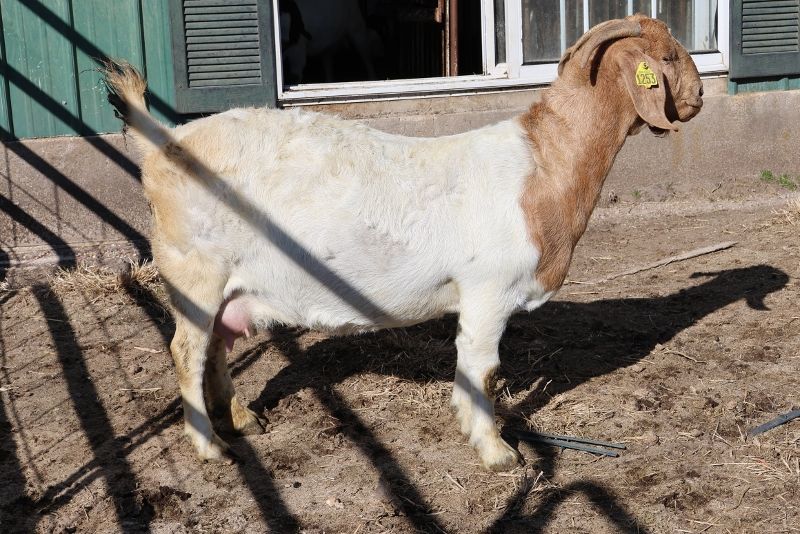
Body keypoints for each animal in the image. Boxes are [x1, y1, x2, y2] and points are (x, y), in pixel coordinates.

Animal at [104, 14, 700, 472]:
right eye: (668, 55)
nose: (696, 97)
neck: (543, 165)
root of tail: (163, 144)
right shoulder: (487, 291)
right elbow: (482, 369)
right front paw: (497, 453)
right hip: (194, 271)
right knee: (187, 350)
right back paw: (210, 448)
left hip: (225, 283)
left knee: (217, 346)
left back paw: (244, 419)